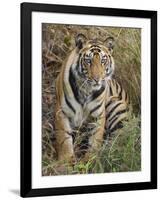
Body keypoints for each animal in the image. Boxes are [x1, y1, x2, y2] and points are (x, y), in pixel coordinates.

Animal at [54, 33, 127, 163]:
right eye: (88, 61)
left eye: (103, 60)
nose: (97, 79)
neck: (86, 90)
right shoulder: (61, 112)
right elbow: (64, 139)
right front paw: (65, 161)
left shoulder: (98, 115)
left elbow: (95, 140)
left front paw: (90, 160)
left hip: (117, 106)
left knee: (119, 140)